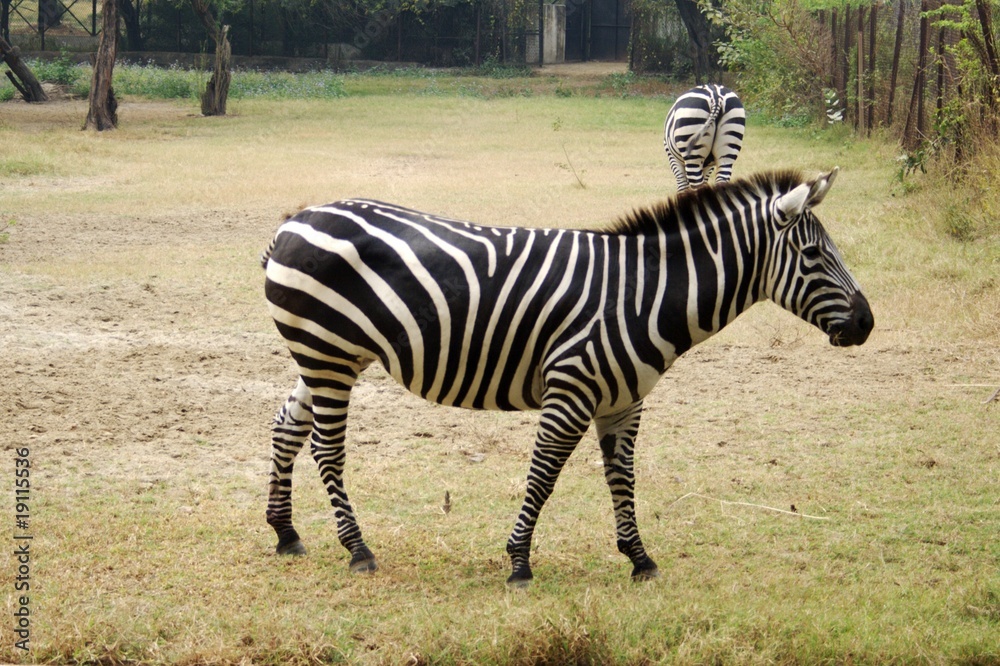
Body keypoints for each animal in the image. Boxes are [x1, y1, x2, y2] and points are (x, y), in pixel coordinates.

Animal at [261, 167, 873, 587]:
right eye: (814, 255)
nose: (867, 323)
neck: (644, 294)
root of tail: (295, 220)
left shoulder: (624, 401)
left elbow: (622, 479)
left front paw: (640, 559)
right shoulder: (571, 391)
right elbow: (543, 477)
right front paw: (519, 562)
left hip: (326, 357)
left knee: (286, 427)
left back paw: (286, 533)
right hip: (329, 354)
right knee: (326, 448)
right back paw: (357, 549)